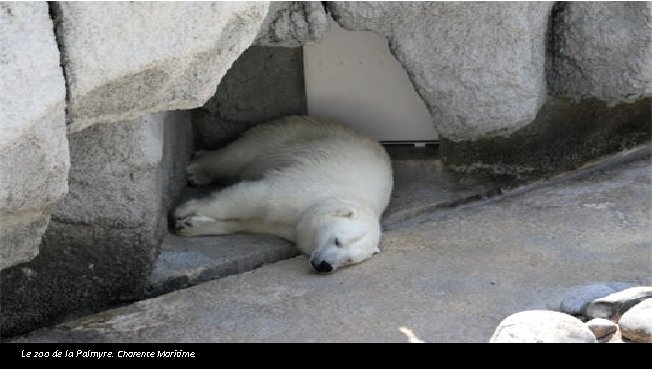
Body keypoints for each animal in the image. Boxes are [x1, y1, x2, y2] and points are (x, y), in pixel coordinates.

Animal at [173, 115, 392, 274]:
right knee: (237, 155)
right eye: (337, 240)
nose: (325, 265)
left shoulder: (293, 226)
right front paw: (183, 210)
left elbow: (254, 223)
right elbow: (250, 198)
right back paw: (196, 170)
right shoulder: (302, 192)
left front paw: (190, 226)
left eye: (350, 260)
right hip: (291, 136)